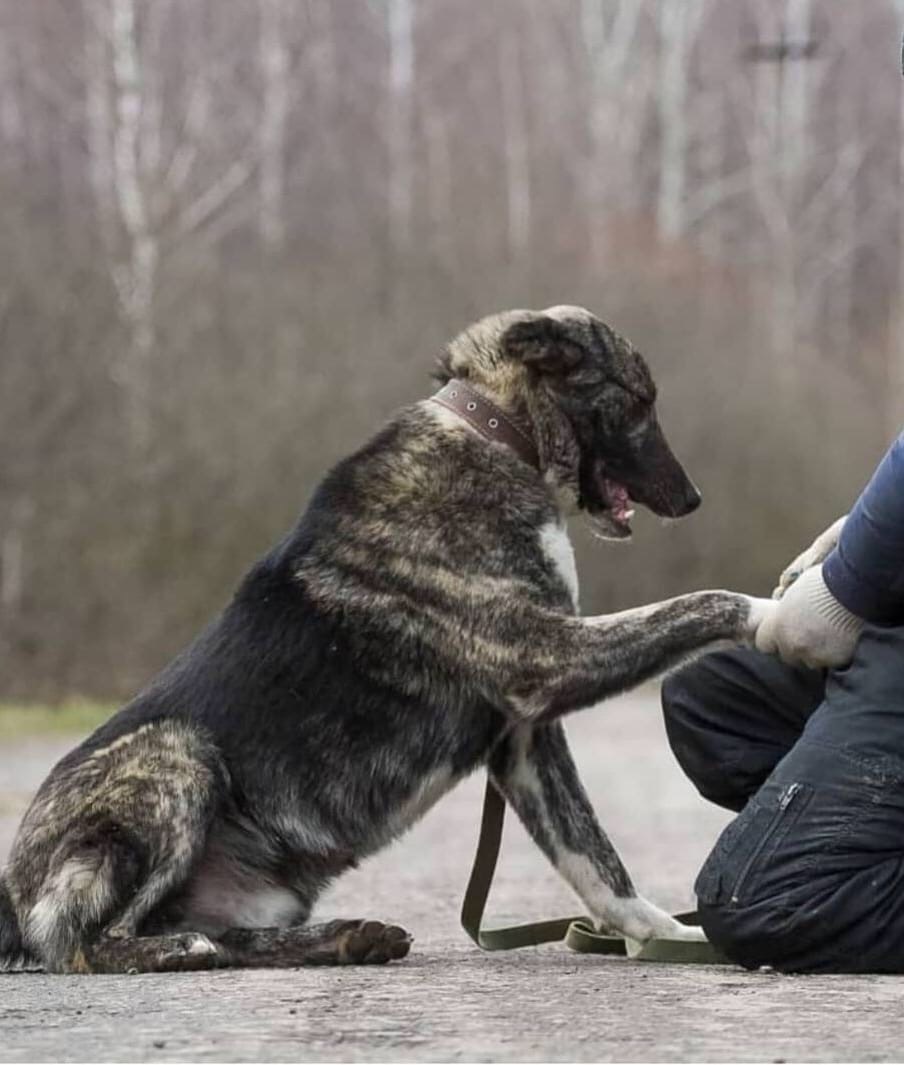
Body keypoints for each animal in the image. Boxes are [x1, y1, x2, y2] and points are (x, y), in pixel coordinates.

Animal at [0, 304, 775, 971]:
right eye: (639, 400)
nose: (692, 499)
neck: (494, 433)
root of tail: (14, 904)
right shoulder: (543, 661)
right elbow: (699, 604)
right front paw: (775, 613)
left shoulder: (525, 740)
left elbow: (595, 859)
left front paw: (659, 933)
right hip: (178, 754)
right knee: (90, 943)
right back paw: (178, 949)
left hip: (262, 888)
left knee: (230, 938)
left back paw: (345, 937)